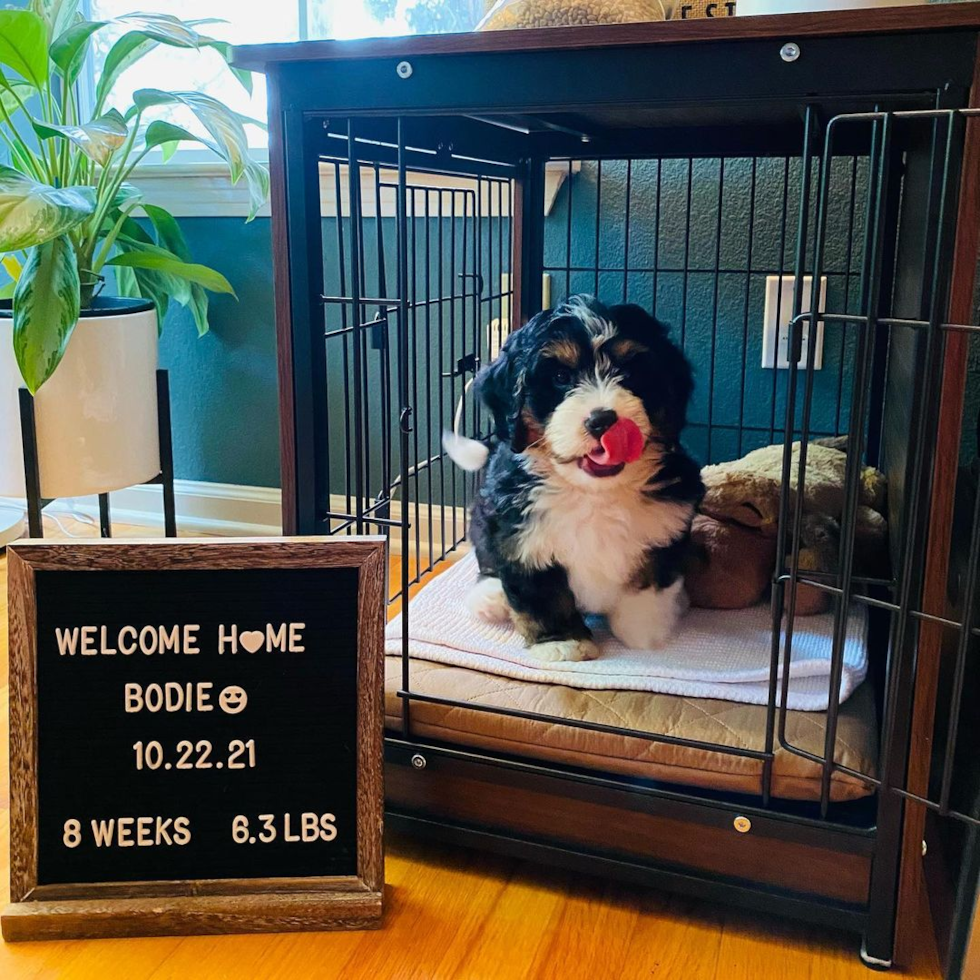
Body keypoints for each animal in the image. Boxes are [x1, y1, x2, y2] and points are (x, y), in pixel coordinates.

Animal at [464, 294, 700, 664]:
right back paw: (490, 597)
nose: (602, 420)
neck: (593, 493)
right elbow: (542, 595)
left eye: (629, 373)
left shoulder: (670, 522)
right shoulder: (518, 536)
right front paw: (562, 643)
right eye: (561, 376)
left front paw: (645, 630)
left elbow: (650, 582)